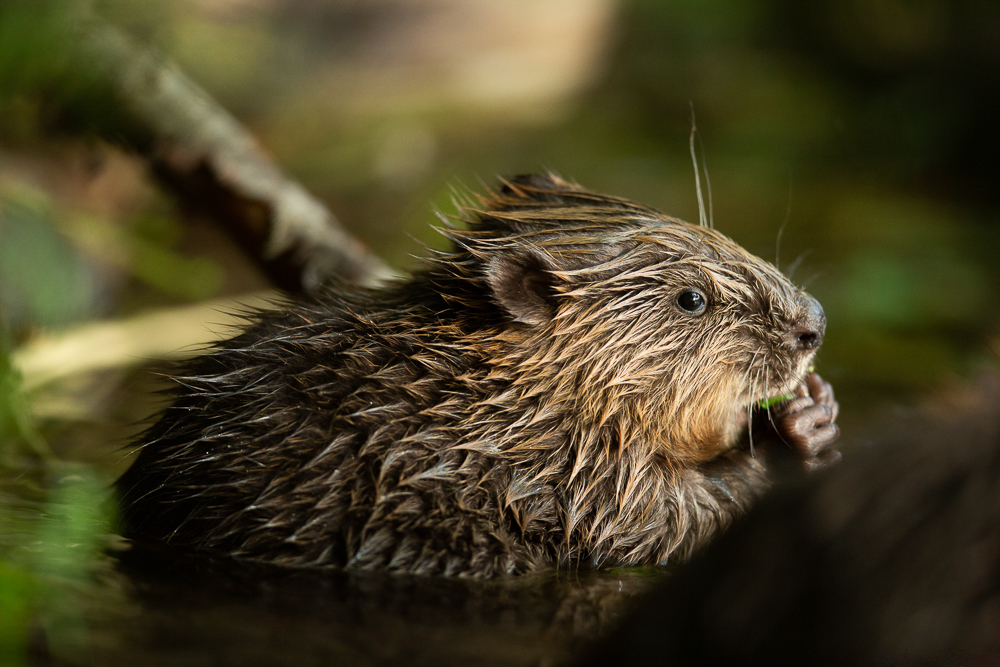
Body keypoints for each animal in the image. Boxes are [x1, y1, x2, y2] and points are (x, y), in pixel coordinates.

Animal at [113, 175, 840, 576]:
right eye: (691, 298)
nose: (814, 322)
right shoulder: (559, 475)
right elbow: (655, 522)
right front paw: (795, 430)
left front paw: (817, 408)